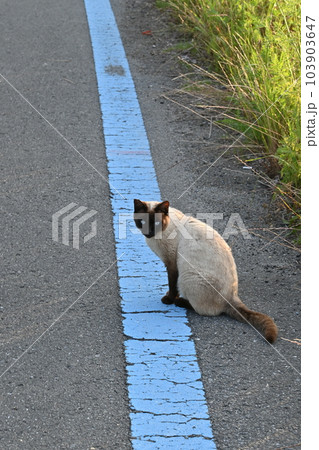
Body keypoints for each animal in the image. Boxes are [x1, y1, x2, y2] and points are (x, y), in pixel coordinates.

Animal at [134, 199, 278, 342]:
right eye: (142, 222)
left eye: (156, 223)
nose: (148, 233)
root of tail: (232, 297)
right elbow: (172, 286)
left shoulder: (172, 264)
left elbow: (172, 285)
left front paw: (169, 299)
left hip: (187, 277)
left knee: (203, 310)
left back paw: (179, 302)